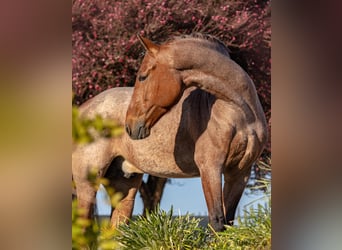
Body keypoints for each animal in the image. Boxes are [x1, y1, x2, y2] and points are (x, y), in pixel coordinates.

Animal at [73, 33, 268, 232]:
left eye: (142, 77)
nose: (130, 126)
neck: (242, 114)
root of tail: (83, 110)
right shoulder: (211, 167)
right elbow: (217, 221)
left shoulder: (239, 172)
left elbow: (227, 222)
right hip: (87, 183)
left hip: (124, 186)